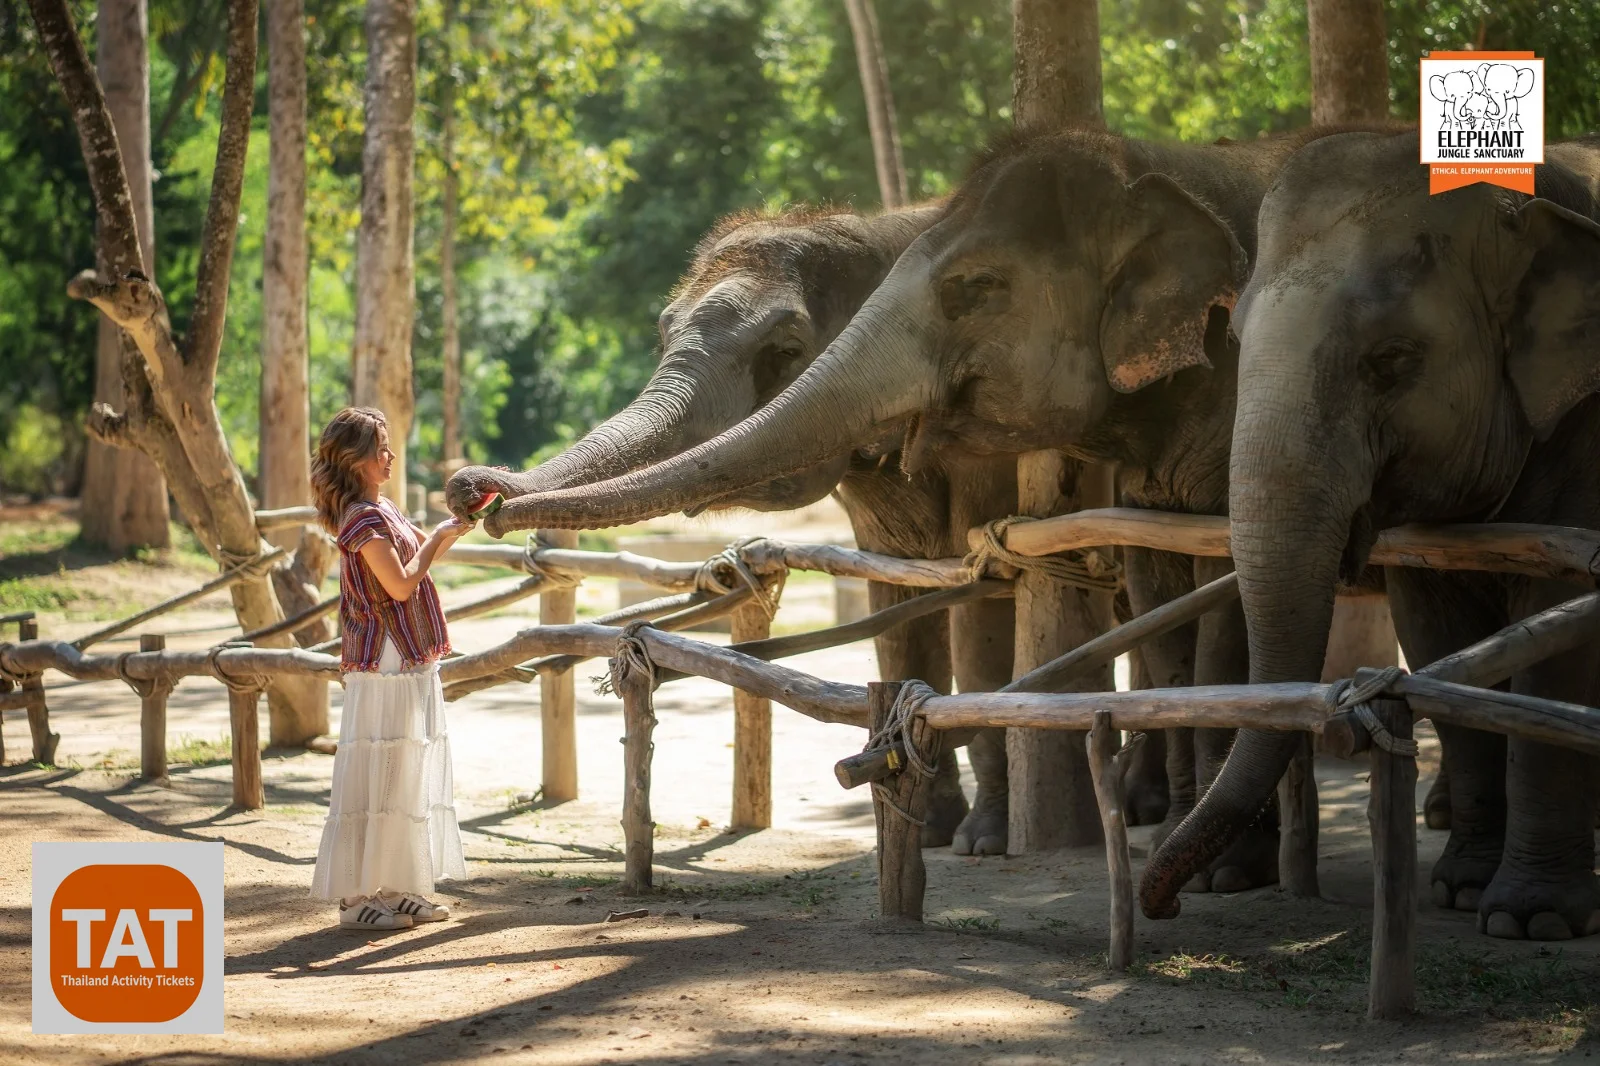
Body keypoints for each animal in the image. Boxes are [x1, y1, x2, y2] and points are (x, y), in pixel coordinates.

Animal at [446, 203, 1063, 854]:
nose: (476, 492)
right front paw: (928, 834)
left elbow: (985, 607)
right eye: (664, 335)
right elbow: (898, 611)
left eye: (787, 348)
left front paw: (981, 841)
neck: (879, 228)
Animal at [1141, 130, 1600, 940]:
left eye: (1391, 360)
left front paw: (1531, 920)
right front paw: (1461, 891)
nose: (1162, 904)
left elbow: (1557, 641)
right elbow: (1436, 639)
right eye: (1233, 337)